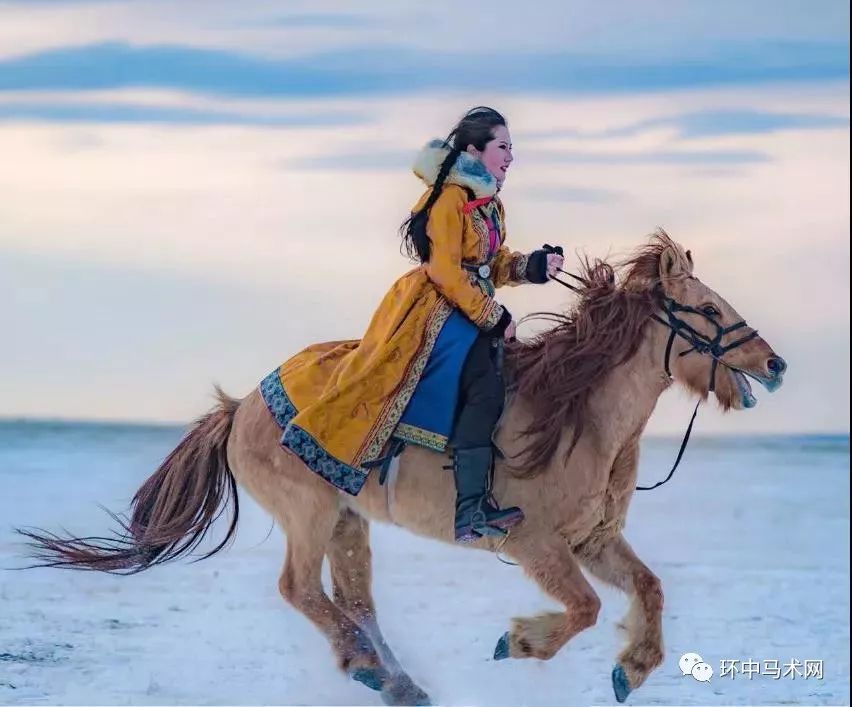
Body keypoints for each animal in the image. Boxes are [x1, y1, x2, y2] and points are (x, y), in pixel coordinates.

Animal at [20, 231, 788, 704]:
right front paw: (518, 640)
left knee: (354, 600)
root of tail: (242, 406)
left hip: (346, 519)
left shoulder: (593, 540)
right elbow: (587, 608)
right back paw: (370, 668)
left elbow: (649, 588)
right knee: (300, 590)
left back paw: (398, 681)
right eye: (708, 309)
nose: (776, 363)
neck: (581, 416)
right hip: (309, 514)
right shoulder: (534, 543)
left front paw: (632, 669)